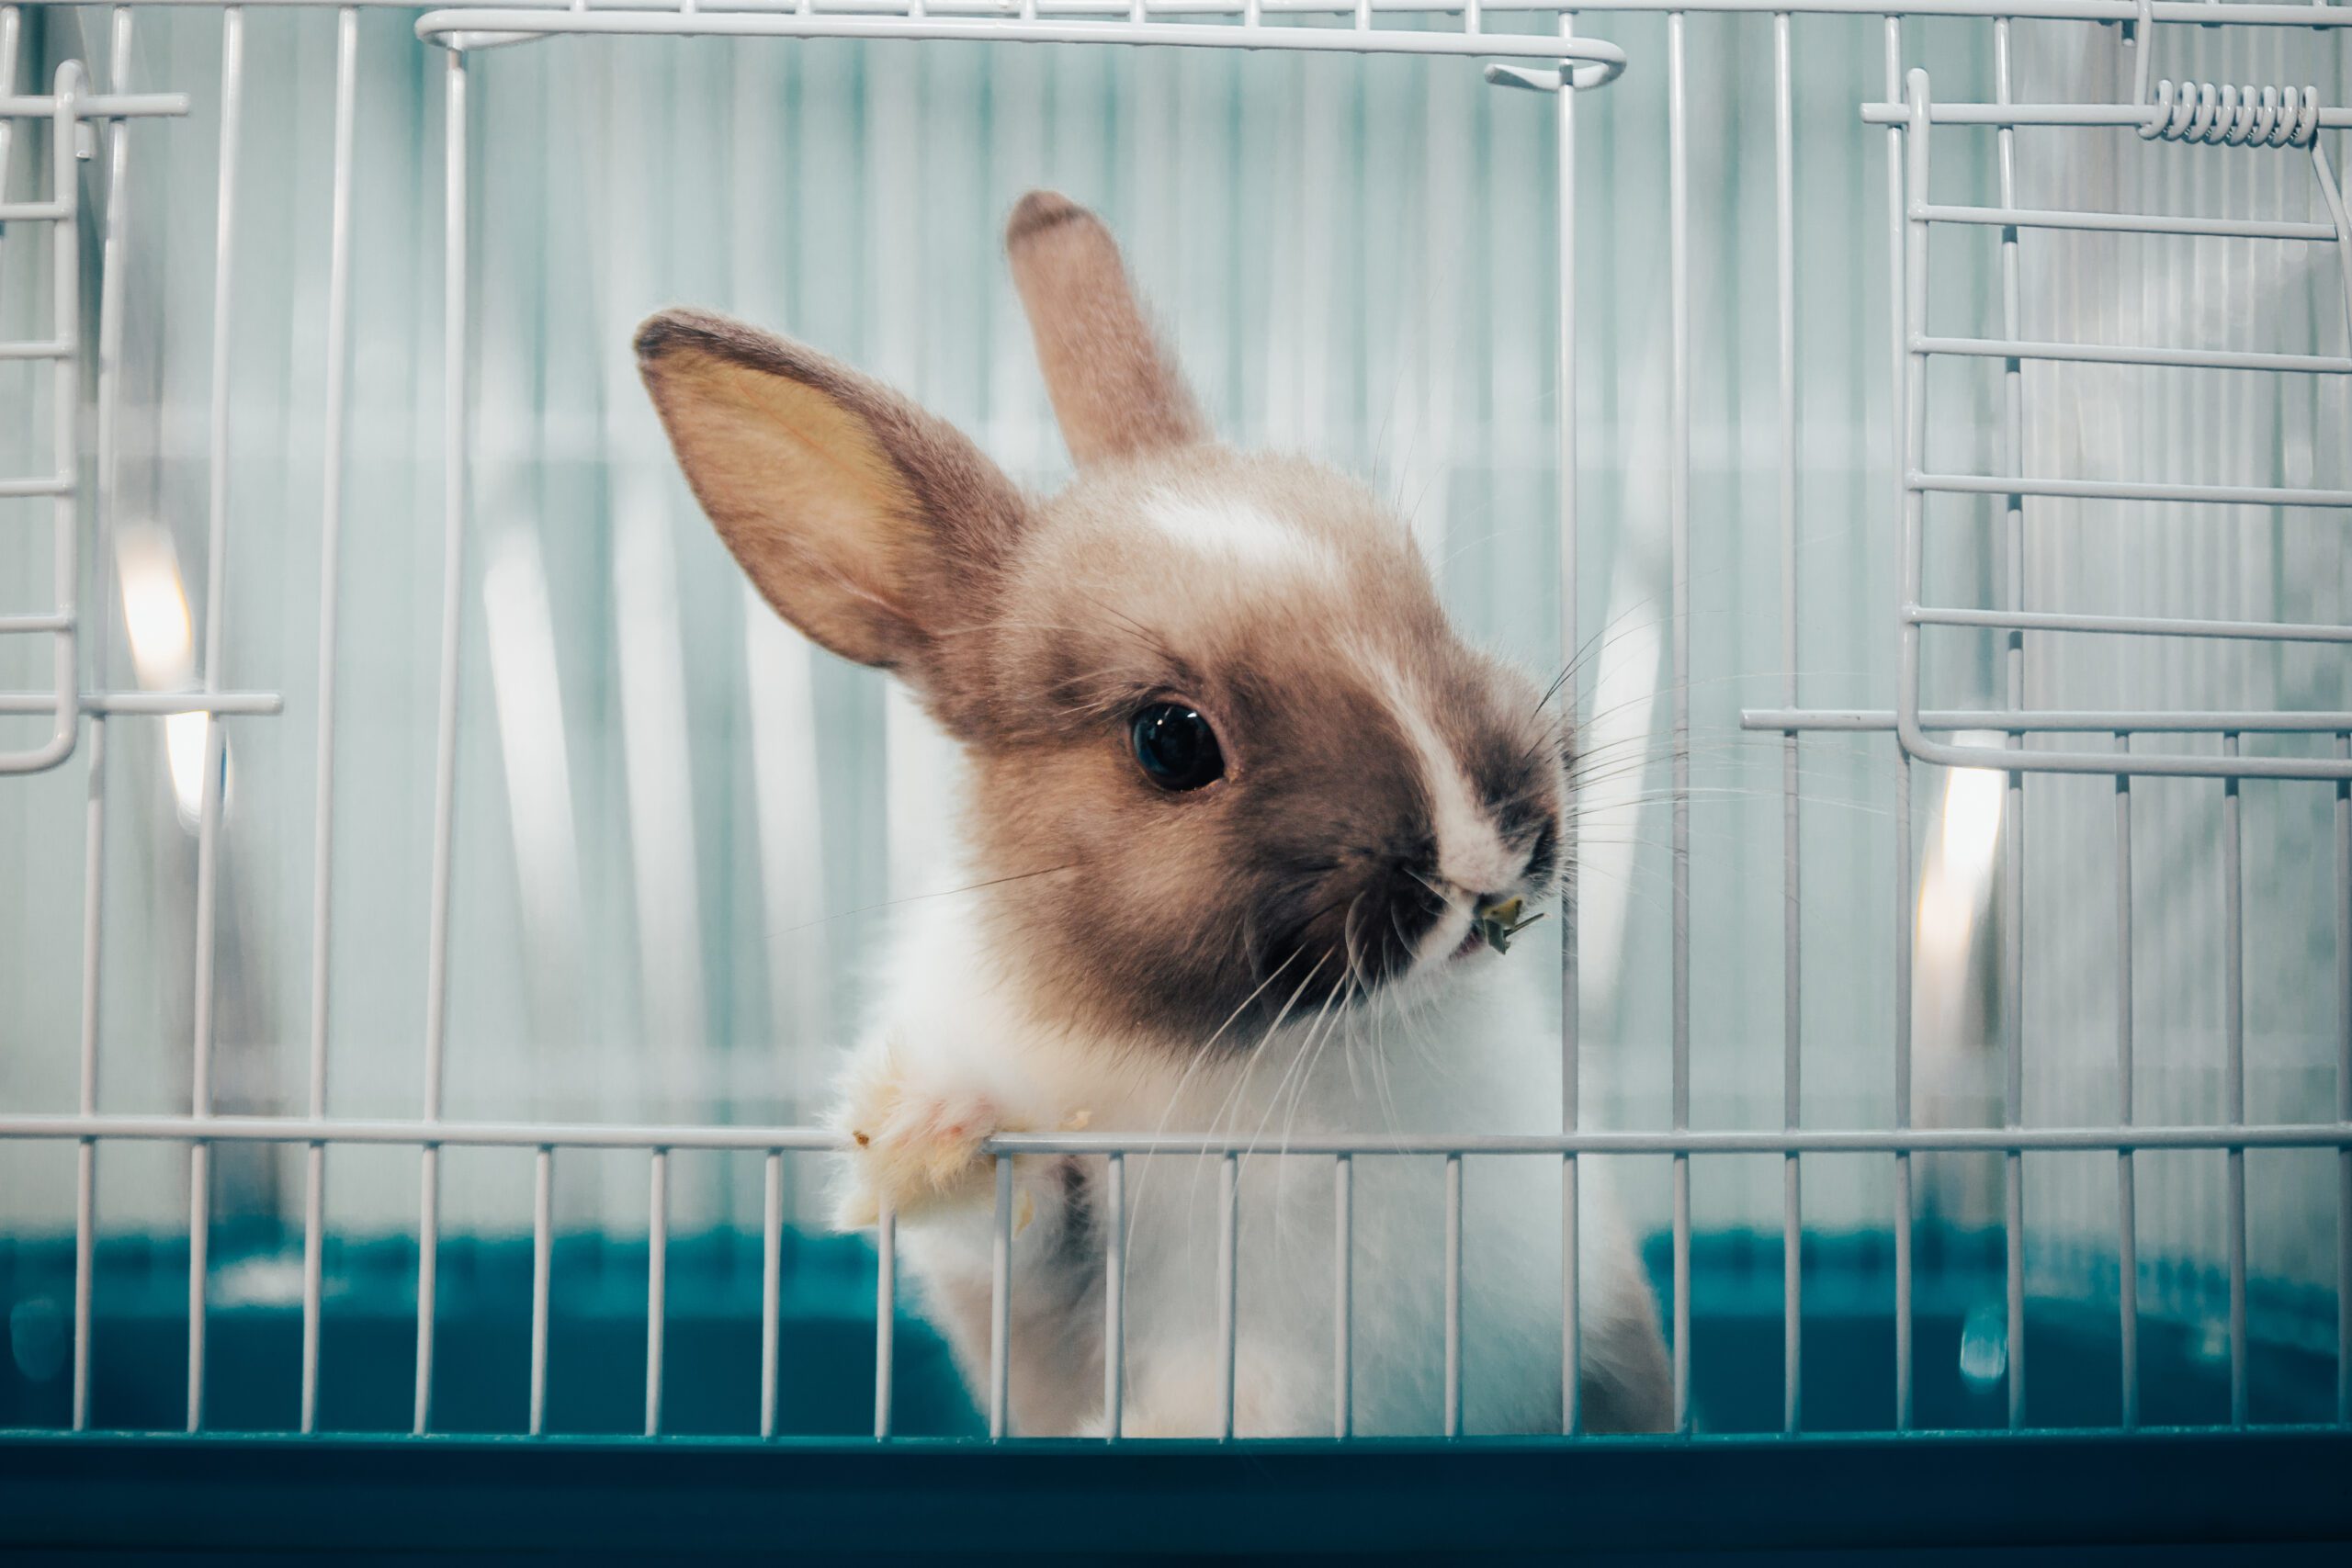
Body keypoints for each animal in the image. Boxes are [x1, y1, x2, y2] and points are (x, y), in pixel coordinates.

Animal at [635, 190, 1674, 1438]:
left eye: (1427, 600)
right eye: (1171, 741)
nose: (1483, 849)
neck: (1276, 1050)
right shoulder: (1048, 1291)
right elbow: (1020, 1232)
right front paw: (931, 1130)